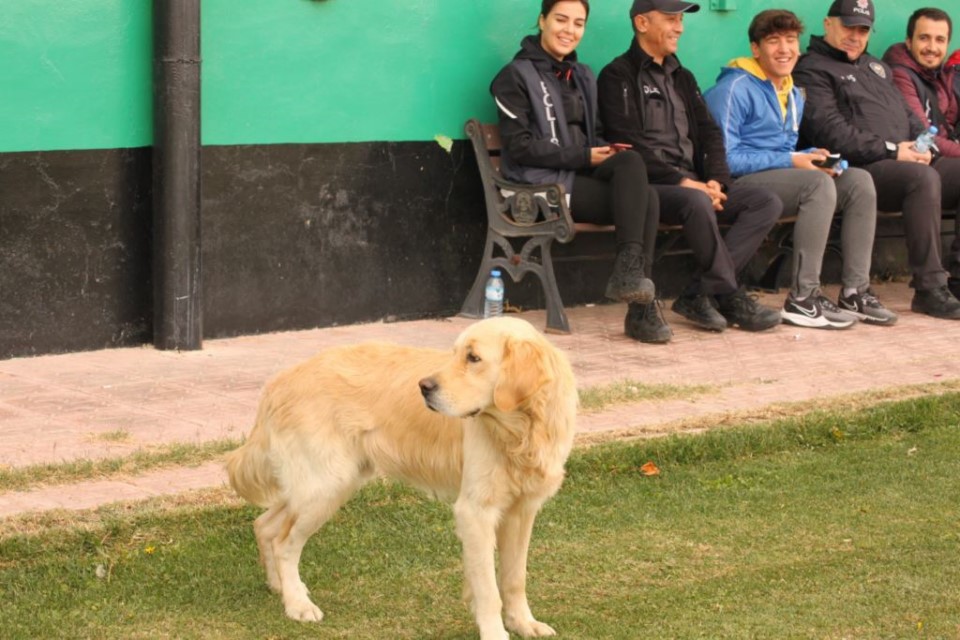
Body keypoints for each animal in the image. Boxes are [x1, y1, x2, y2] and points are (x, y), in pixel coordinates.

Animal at [227, 316, 576, 640]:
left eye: (473, 358)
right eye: (455, 354)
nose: (424, 387)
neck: (521, 431)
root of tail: (280, 380)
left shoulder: (522, 510)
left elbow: (515, 577)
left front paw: (524, 623)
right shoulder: (475, 511)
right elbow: (489, 590)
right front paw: (495, 632)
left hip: (323, 483)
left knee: (265, 525)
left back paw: (280, 587)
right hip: (326, 485)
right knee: (284, 541)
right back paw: (297, 604)